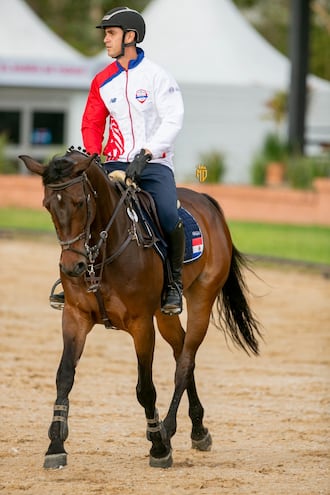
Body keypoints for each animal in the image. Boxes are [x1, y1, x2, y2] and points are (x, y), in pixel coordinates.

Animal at [18, 150, 260, 468]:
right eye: (47, 205)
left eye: (80, 202)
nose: (72, 267)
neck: (103, 251)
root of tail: (207, 202)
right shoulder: (75, 317)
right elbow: (64, 377)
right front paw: (55, 446)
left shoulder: (141, 325)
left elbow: (145, 389)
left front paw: (158, 447)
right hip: (164, 315)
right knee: (182, 350)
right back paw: (197, 429)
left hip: (202, 300)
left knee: (185, 363)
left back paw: (168, 429)